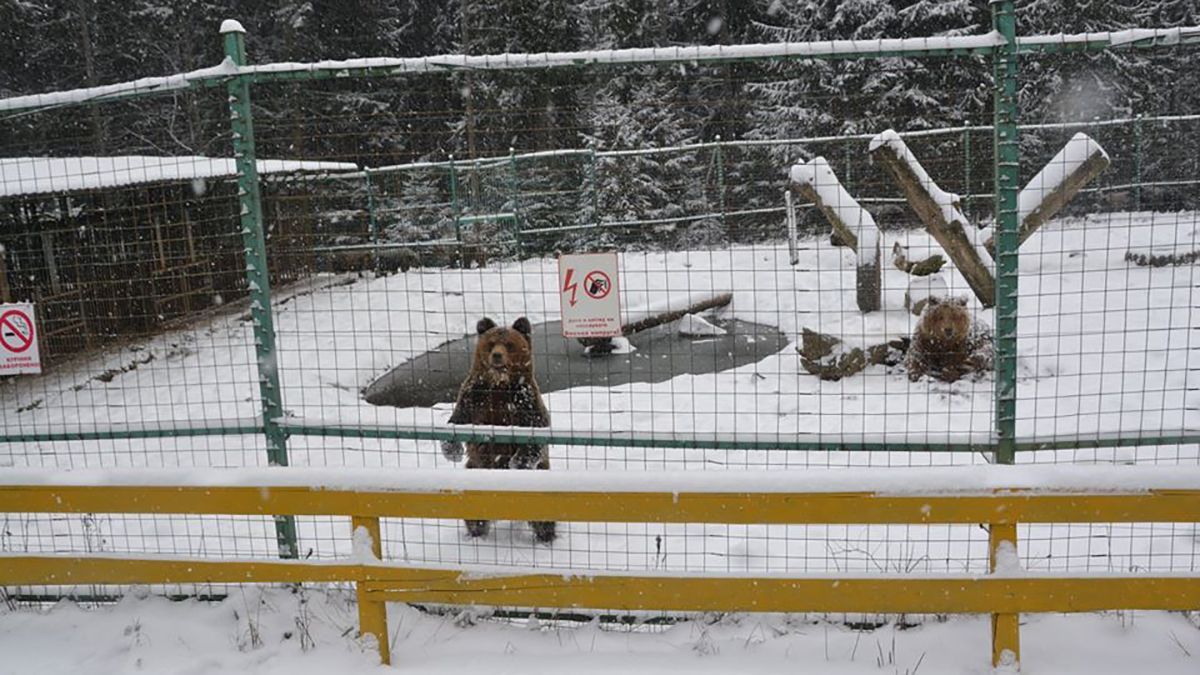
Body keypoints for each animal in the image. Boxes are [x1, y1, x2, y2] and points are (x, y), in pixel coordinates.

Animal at [439, 314, 554, 540]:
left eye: (509, 344)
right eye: (491, 343)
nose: (497, 356)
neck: (500, 384)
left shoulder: (525, 400)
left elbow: (536, 431)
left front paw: (517, 462)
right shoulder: (475, 396)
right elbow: (458, 420)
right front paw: (452, 450)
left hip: (540, 474)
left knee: (543, 515)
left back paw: (546, 537)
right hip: (476, 468)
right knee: (474, 514)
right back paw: (476, 533)